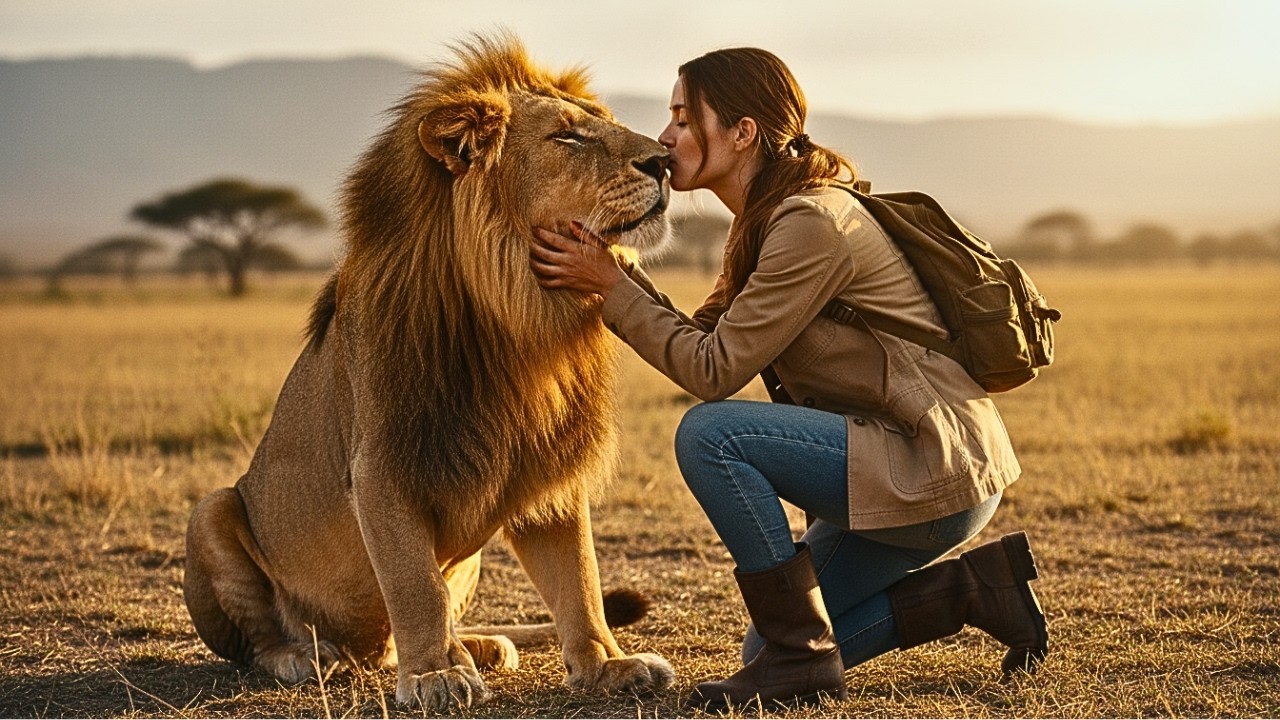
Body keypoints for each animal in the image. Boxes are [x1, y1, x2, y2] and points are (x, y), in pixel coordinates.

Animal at [181, 33, 674, 711]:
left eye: (605, 123)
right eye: (568, 137)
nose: (667, 163)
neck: (517, 319)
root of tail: (363, 651)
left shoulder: (548, 465)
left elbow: (579, 578)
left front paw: (608, 665)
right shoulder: (382, 464)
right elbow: (416, 586)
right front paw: (437, 675)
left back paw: (484, 646)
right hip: (211, 511)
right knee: (263, 640)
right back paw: (307, 657)